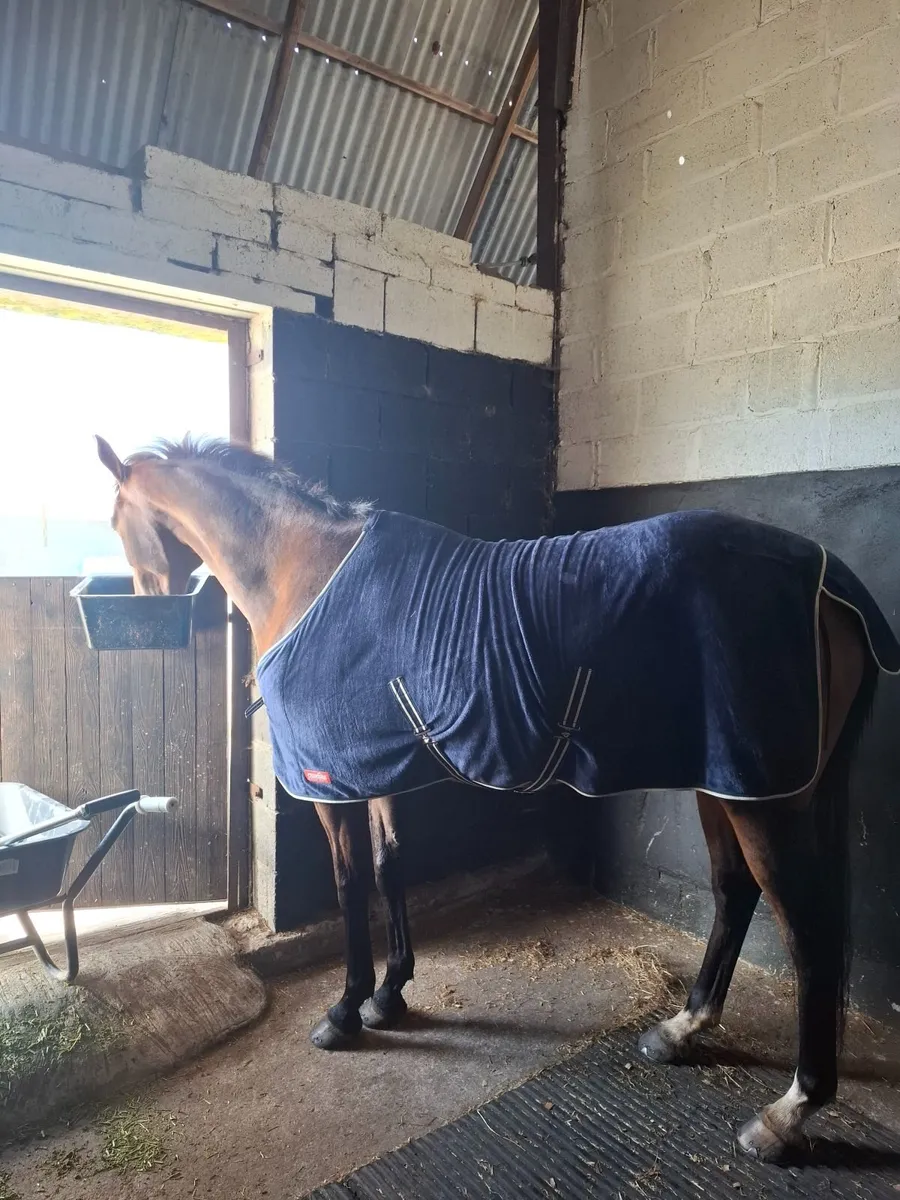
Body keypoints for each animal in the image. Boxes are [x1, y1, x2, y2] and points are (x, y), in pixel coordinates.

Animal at [95, 433, 899, 1164]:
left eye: (113, 518)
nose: (147, 605)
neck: (307, 571)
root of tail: (825, 574)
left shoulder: (331, 782)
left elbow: (351, 885)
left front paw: (345, 1011)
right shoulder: (376, 771)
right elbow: (390, 868)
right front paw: (390, 995)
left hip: (762, 798)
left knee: (805, 929)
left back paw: (788, 1112)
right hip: (723, 781)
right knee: (735, 892)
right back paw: (682, 1030)